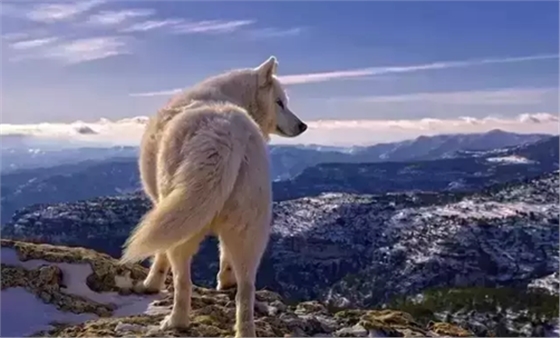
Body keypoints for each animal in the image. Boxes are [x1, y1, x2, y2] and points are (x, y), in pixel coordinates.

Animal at [120, 55, 308, 336]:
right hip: (249, 230)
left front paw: (150, 284)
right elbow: (224, 257)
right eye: (280, 102)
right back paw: (244, 329)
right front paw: (225, 282)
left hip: (185, 224)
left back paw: (175, 321)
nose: (303, 125)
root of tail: (228, 132)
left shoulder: (163, 208)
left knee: (183, 281)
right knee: (246, 288)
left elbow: (159, 256)